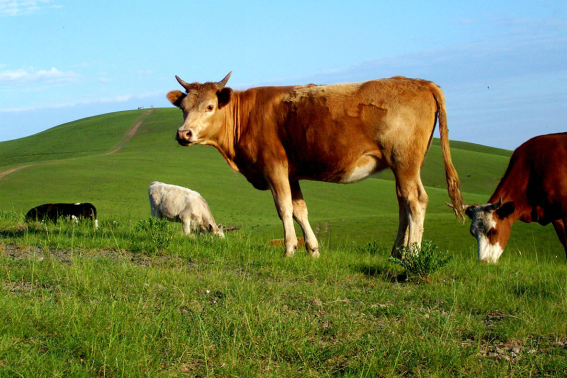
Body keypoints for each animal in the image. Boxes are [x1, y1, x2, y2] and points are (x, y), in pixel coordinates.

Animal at [165, 72, 466, 256]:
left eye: (209, 107)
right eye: (183, 108)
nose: (183, 134)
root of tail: (421, 82)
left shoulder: (273, 166)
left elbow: (284, 208)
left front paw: (289, 249)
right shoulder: (291, 173)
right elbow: (300, 210)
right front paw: (312, 249)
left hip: (404, 160)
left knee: (416, 201)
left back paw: (412, 254)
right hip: (402, 166)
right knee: (403, 203)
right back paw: (396, 253)